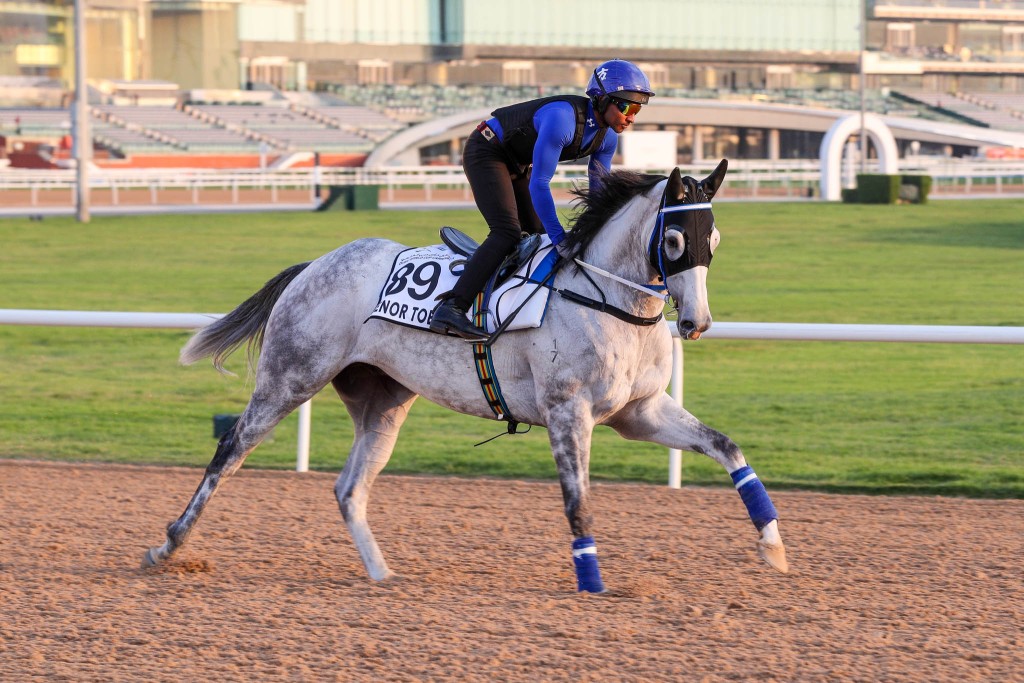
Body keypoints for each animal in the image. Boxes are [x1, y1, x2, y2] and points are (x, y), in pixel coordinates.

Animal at [142, 160, 790, 593]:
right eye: (676, 239)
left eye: (716, 239)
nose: (697, 323)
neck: (607, 300)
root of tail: (313, 266)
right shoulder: (567, 411)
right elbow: (577, 501)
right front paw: (592, 583)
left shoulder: (641, 411)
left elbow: (728, 448)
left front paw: (775, 548)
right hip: (290, 377)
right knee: (229, 450)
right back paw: (168, 544)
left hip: (383, 403)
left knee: (349, 488)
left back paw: (382, 573)